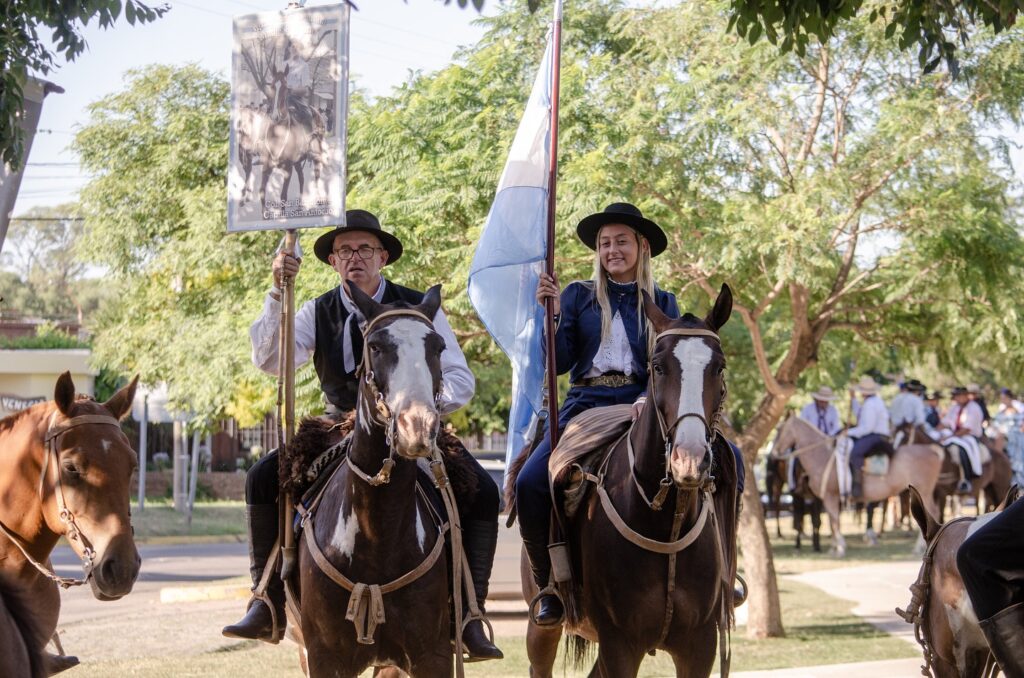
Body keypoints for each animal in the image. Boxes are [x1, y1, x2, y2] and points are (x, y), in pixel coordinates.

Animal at [520, 284, 737, 675]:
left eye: (719, 367)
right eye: (658, 367)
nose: (689, 459)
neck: (667, 525)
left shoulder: (701, 645)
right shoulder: (619, 645)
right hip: (542, 626)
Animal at [770, 419, 942, 557]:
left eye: (780, 430)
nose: (773, 454)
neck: (823, 457)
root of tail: (932, 450)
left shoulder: (830, 496)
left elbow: (834, 522)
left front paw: (840, 548)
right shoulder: (829, 499)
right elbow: (832, 521)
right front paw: (834, 548)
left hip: (923, 492)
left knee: (931, 513)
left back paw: (919, 547)